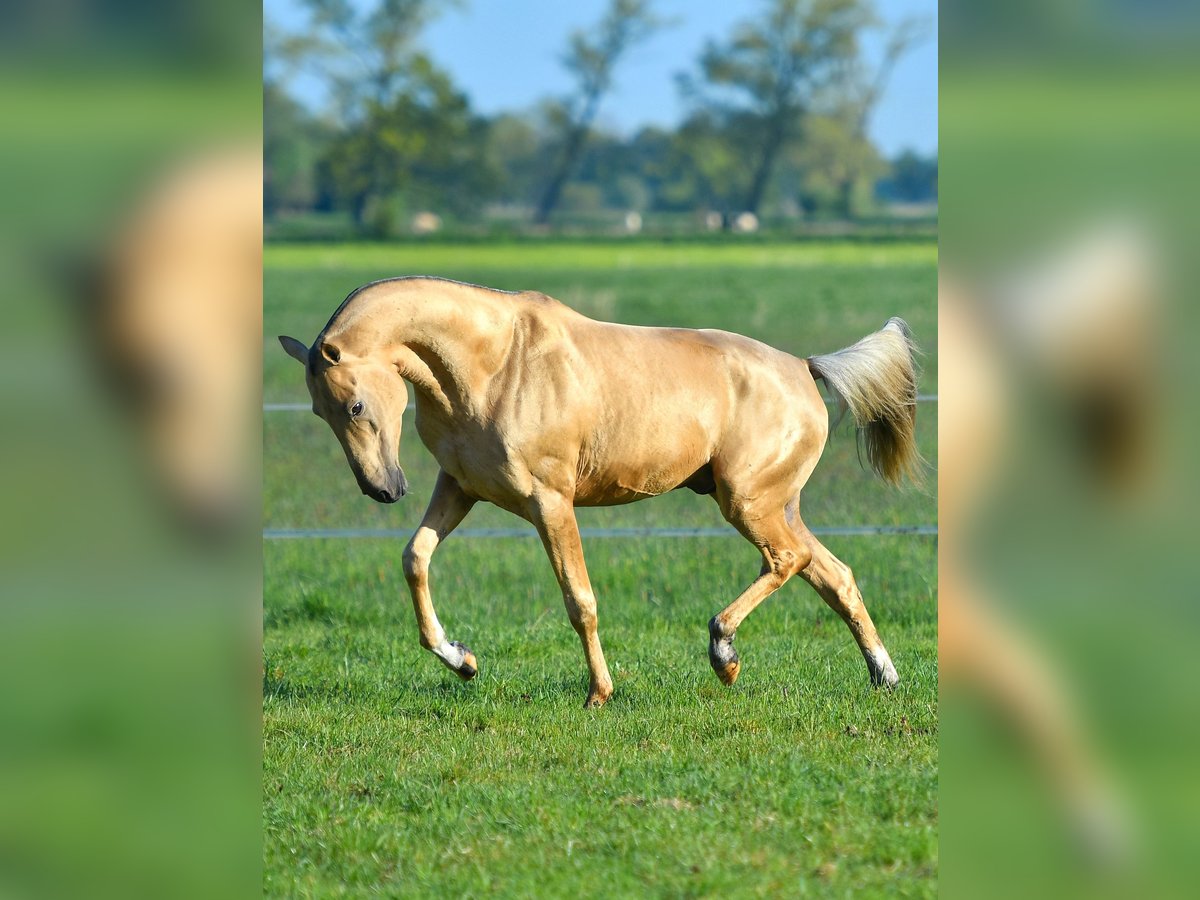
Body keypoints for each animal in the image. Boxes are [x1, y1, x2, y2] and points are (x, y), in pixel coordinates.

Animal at [278, 278, 916, 710]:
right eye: (318, 411)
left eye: (354, 405)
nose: (383, 490)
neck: (493, 364)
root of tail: (806, 368)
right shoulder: (460, 489)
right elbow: (415, 558)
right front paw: (462, 661)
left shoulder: (549, 502)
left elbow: (579, 600)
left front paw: (599, 694)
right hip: (773, 504)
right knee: (833, 574)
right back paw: (883, 676)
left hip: (746, 502)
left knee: (789, 560)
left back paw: (724, 654)